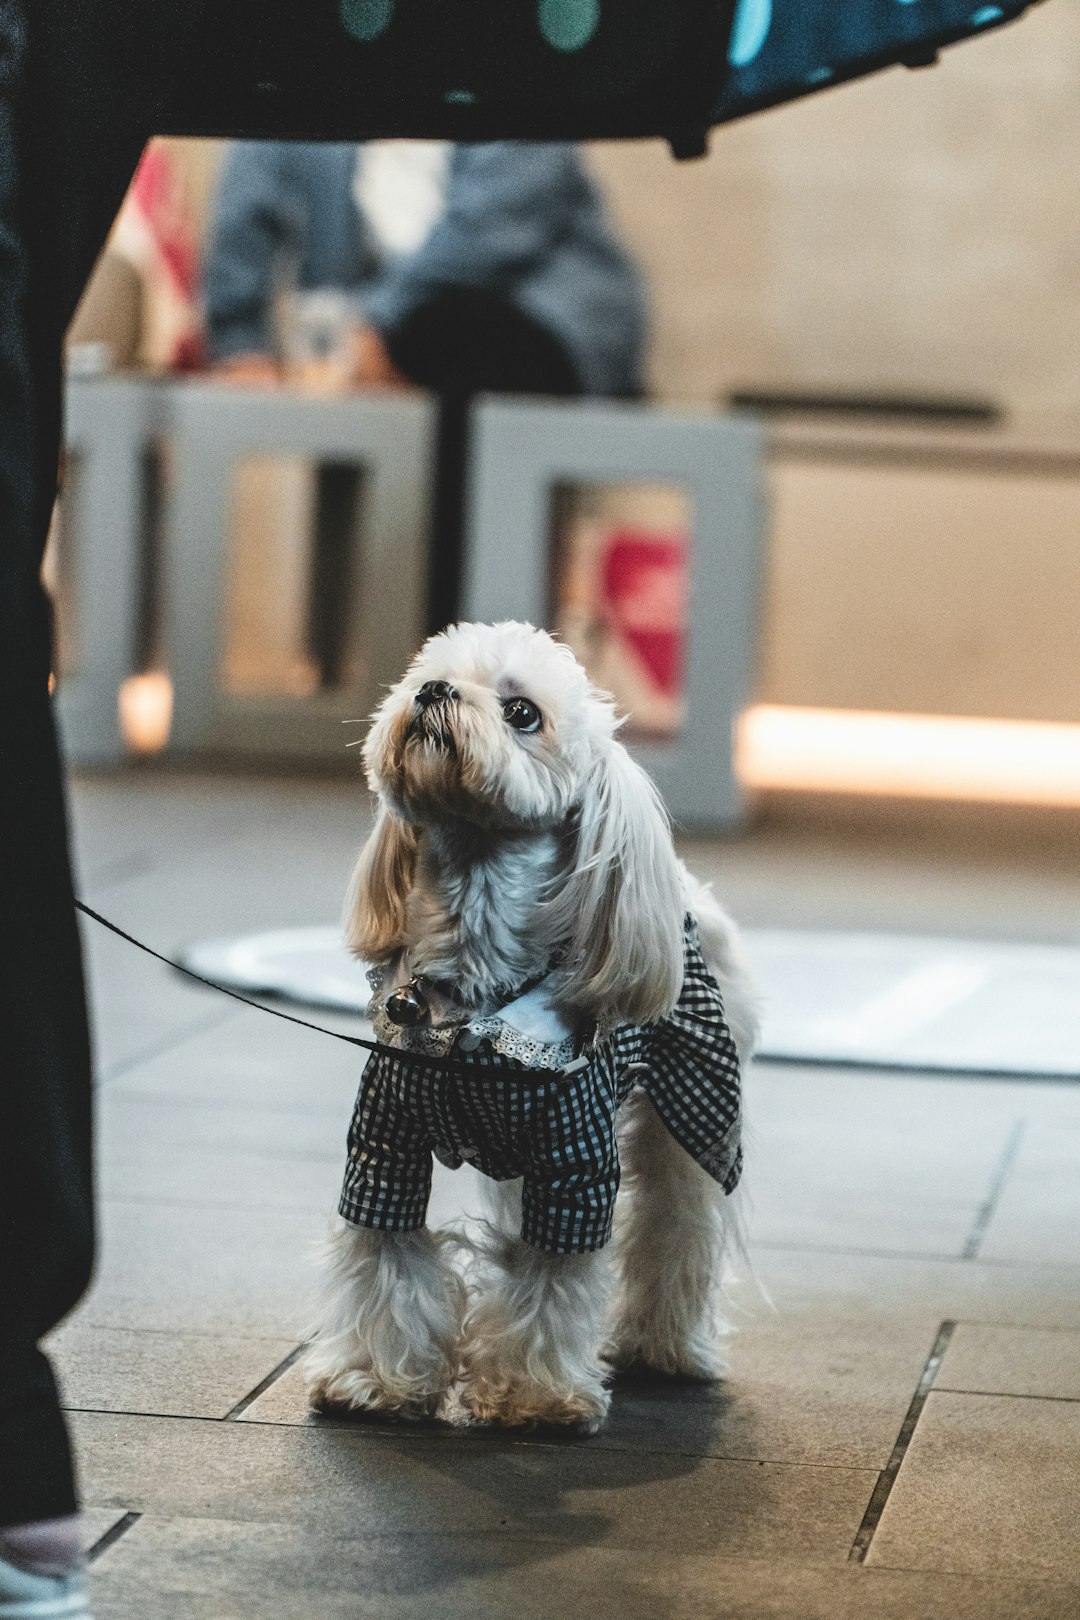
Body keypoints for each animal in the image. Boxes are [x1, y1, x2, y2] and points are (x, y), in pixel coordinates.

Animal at [304, 618, 761, 1432]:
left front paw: (532, 1395)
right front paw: (377, 1379)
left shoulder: (575, 1164)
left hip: (695, 1109)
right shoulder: (385, 1143)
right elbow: (386, 1254)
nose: (433, 691)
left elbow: (551, 1276)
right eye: (425, 673)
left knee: (677, 1226)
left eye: (523, 714)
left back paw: (666, 1346)